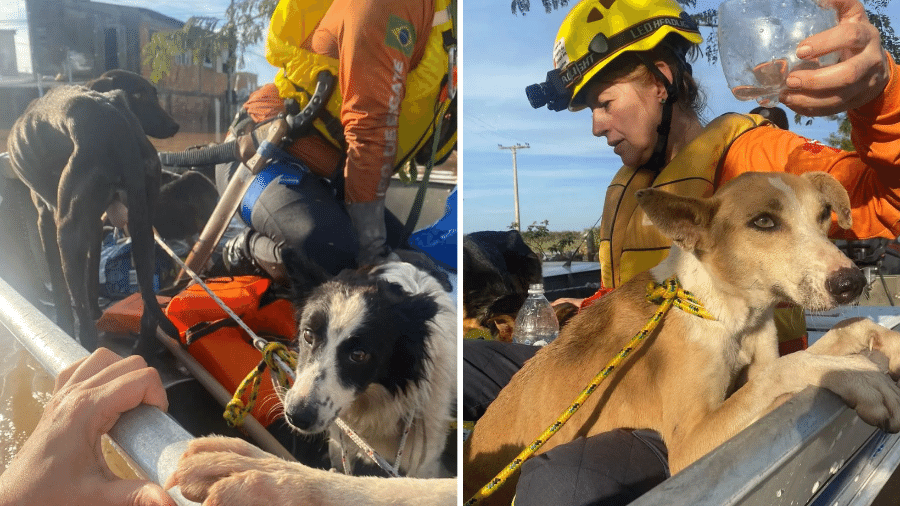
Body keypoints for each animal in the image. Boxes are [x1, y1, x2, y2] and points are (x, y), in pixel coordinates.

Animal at [6, 69, 180, 350]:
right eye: (140, 94)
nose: (175, 126)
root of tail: (117, 121)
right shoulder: (96, 221)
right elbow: (92, 265)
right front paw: (95, 307)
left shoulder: (45, 217)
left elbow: (59, 282)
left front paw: (65, 321)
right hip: (142, 227)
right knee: (149, 304)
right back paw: (142, 346)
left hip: (67, 231)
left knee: (82, 315)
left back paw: (85, 343)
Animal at [464, 172, 900, 504]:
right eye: (763, 222)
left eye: (824, 214)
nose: (851, 283)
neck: (730, 315)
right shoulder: (689, 445)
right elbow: (791, 367)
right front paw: (857, 374)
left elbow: (843, 330)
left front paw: (885, 343)